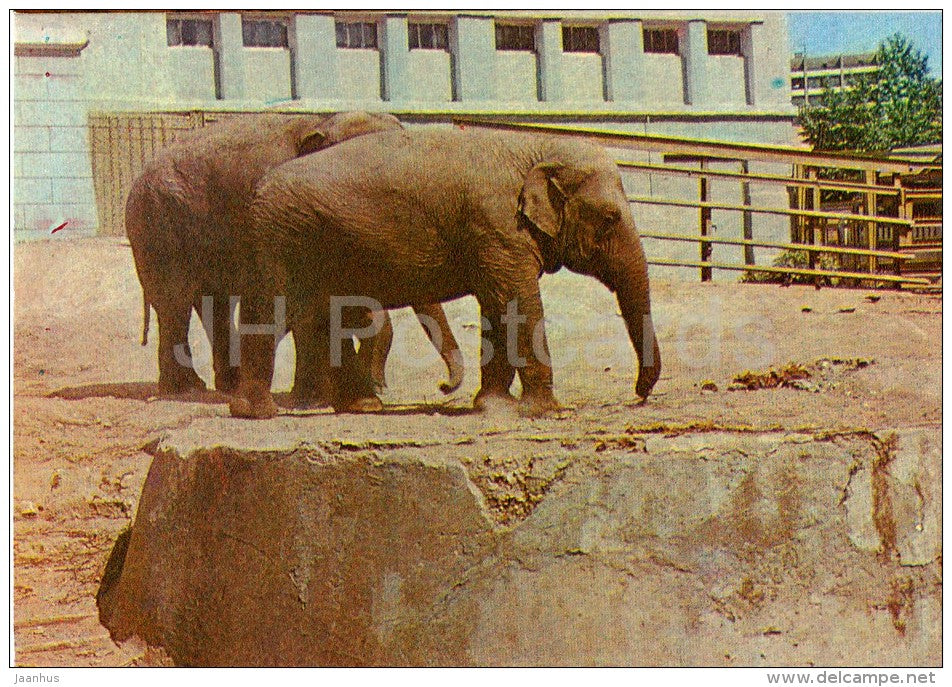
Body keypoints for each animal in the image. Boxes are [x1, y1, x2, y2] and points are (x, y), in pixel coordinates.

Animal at [125, 111, 463, 406]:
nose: (443, 387)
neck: (322, 123)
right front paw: (315, 399)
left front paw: (325, 395)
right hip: (157, 225)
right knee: (175, 303)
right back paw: (186, 389)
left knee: (214, 304)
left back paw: (227, 386)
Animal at [230, 126, 661, 419]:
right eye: (611, 217)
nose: (638, 396)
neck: (534, 147)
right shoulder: (496, 227)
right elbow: (517, 302)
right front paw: (546, 411)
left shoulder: (493, 238)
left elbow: (496, 306)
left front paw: (491, 406)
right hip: (279, 240)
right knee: (274, 312)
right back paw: (258, 412)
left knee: (320, 318)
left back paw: (360, 406)